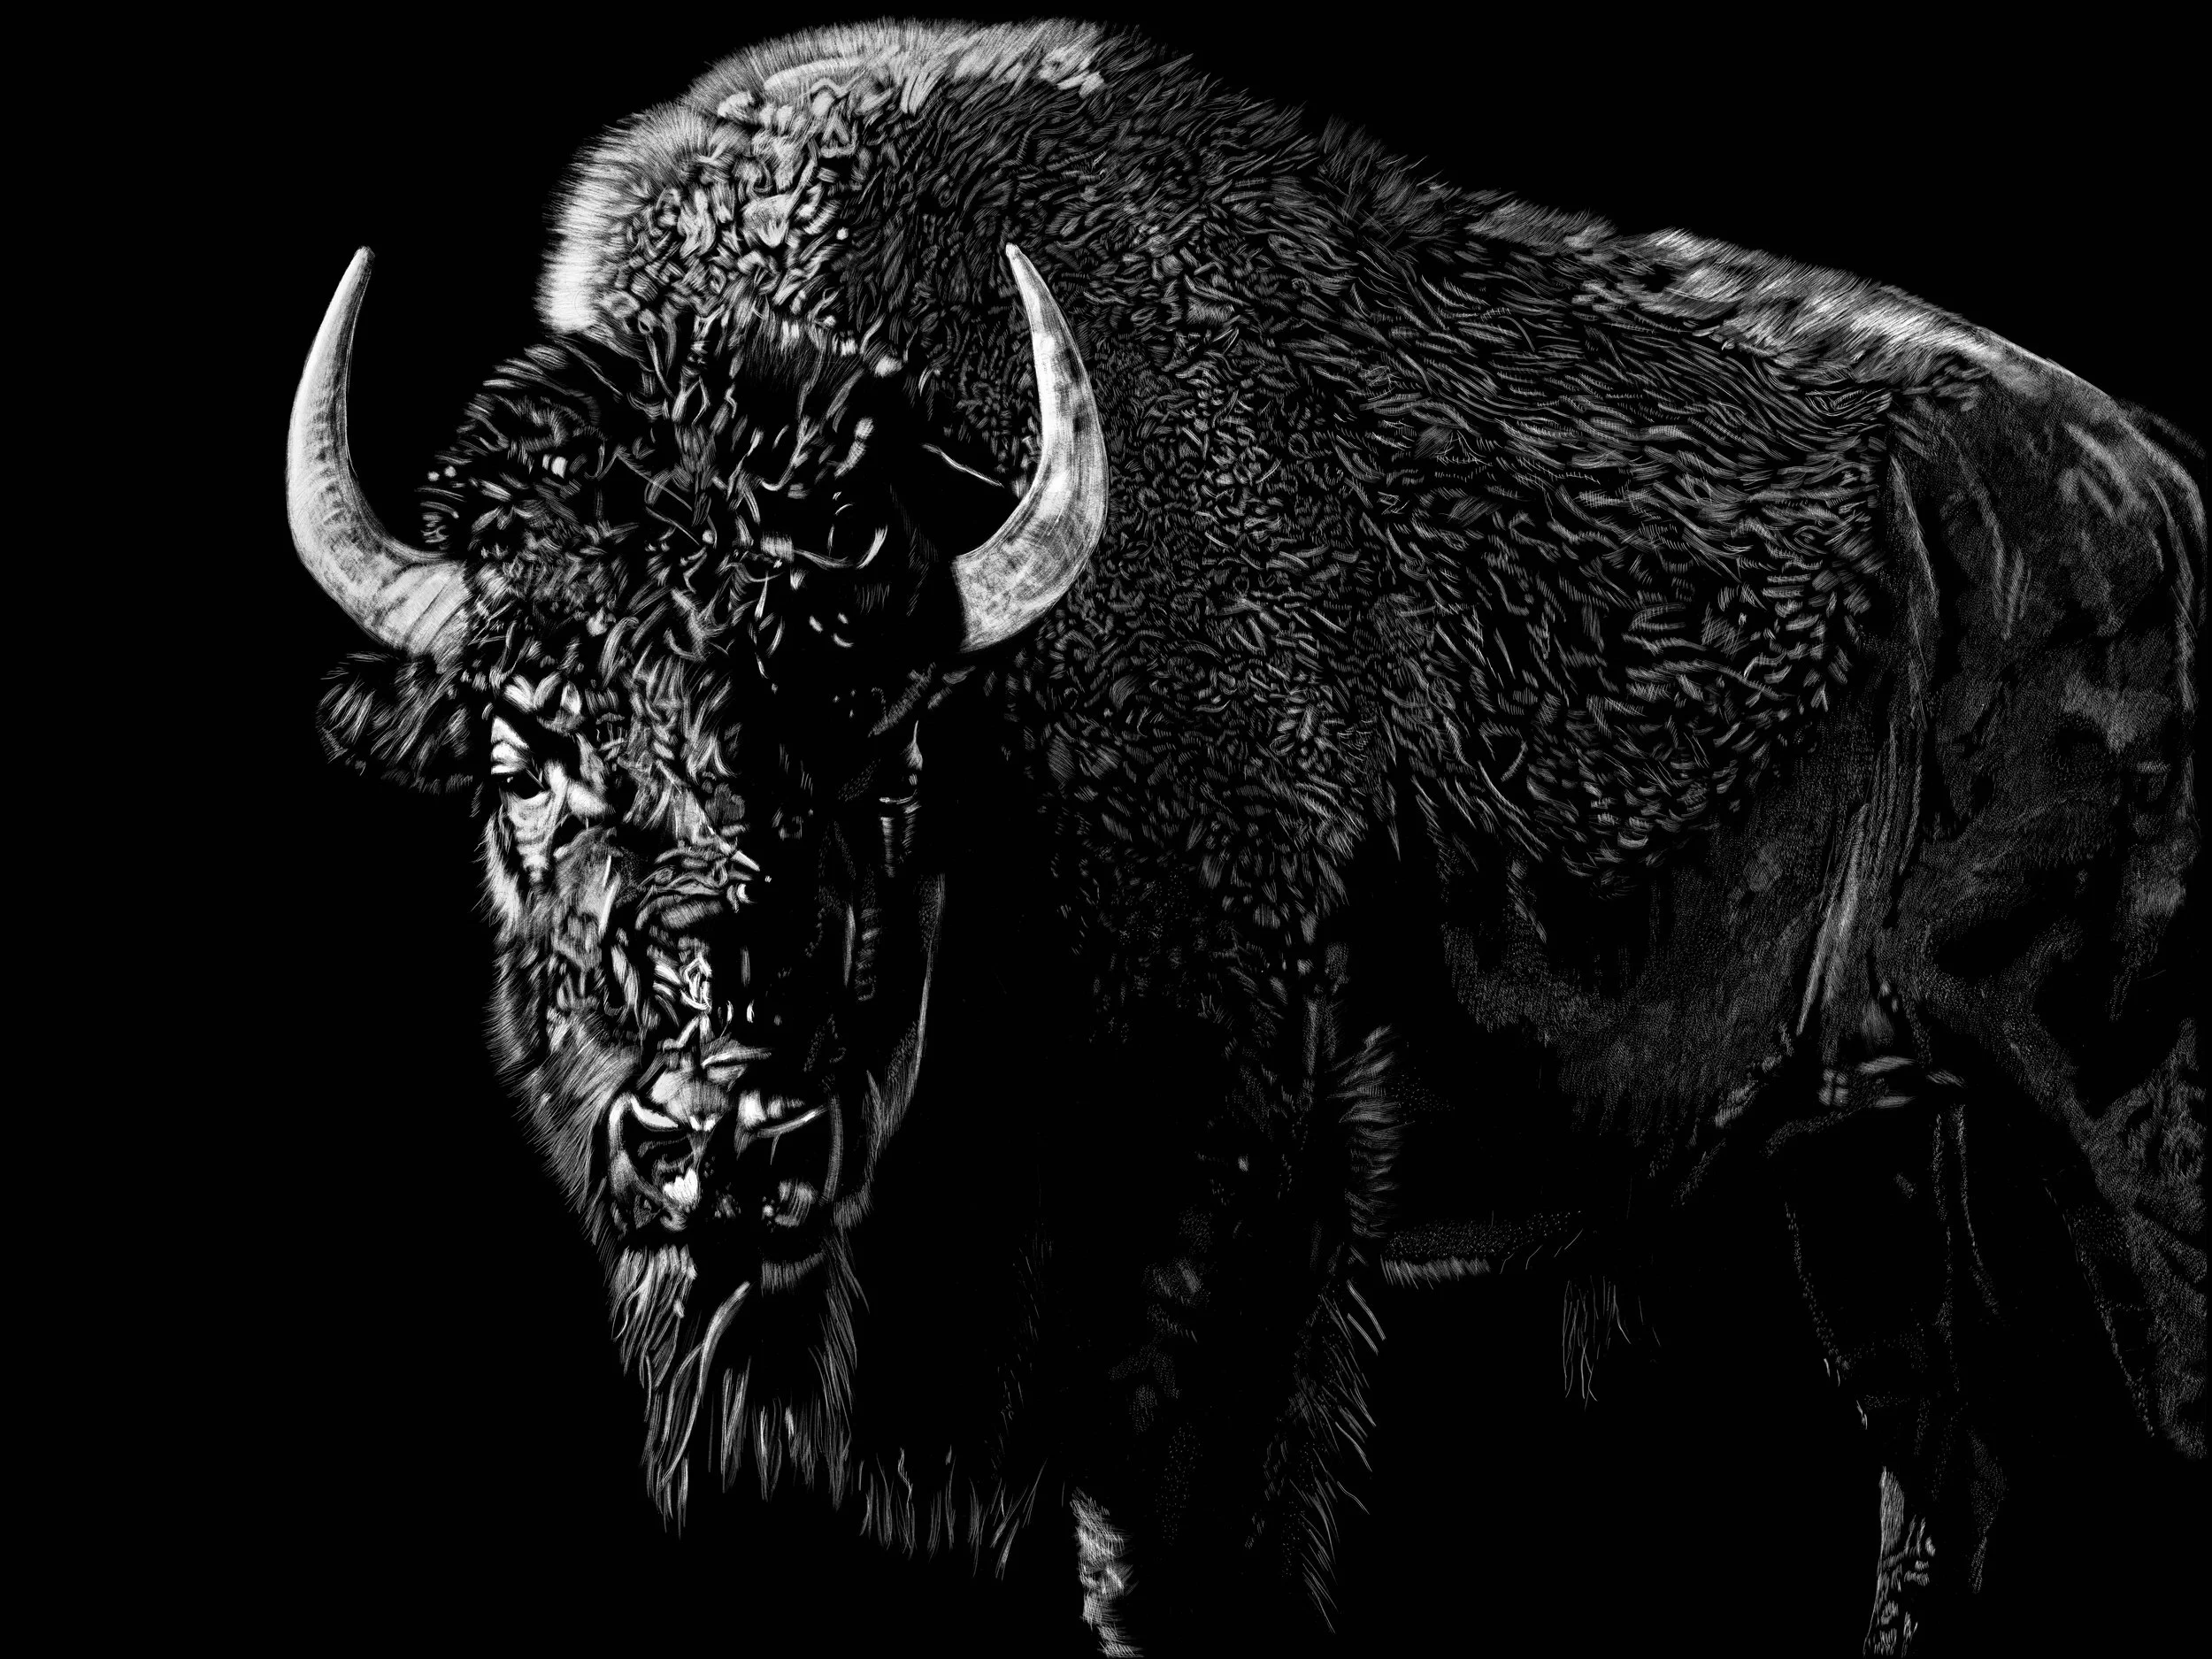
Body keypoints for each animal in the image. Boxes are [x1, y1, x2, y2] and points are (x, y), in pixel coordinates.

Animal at [281, 20, 2200, 1652]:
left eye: (886, 734)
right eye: (527, 744)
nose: (726, 1135)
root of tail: (2141, 478)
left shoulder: (1229, 1237)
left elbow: (1190, 1568)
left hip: (2111, 1093)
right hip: (1858, 1144)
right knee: (1949, 1457)